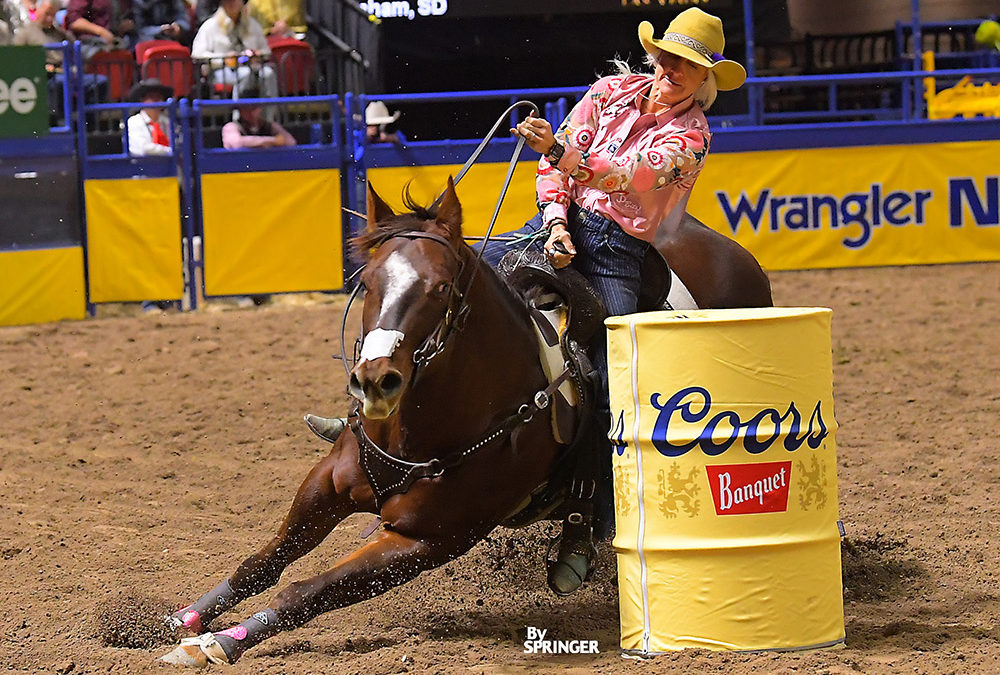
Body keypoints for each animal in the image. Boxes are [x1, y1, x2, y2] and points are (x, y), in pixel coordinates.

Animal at [162, 177, 772, 668]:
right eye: (367, 282)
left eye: (439, 288)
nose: (375, 381)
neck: (424, 428)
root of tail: (726, 249)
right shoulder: (328, 484)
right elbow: (262, 563)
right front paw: (180, 622)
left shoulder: (427, 539)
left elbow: (305, 591)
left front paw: (220, 642)